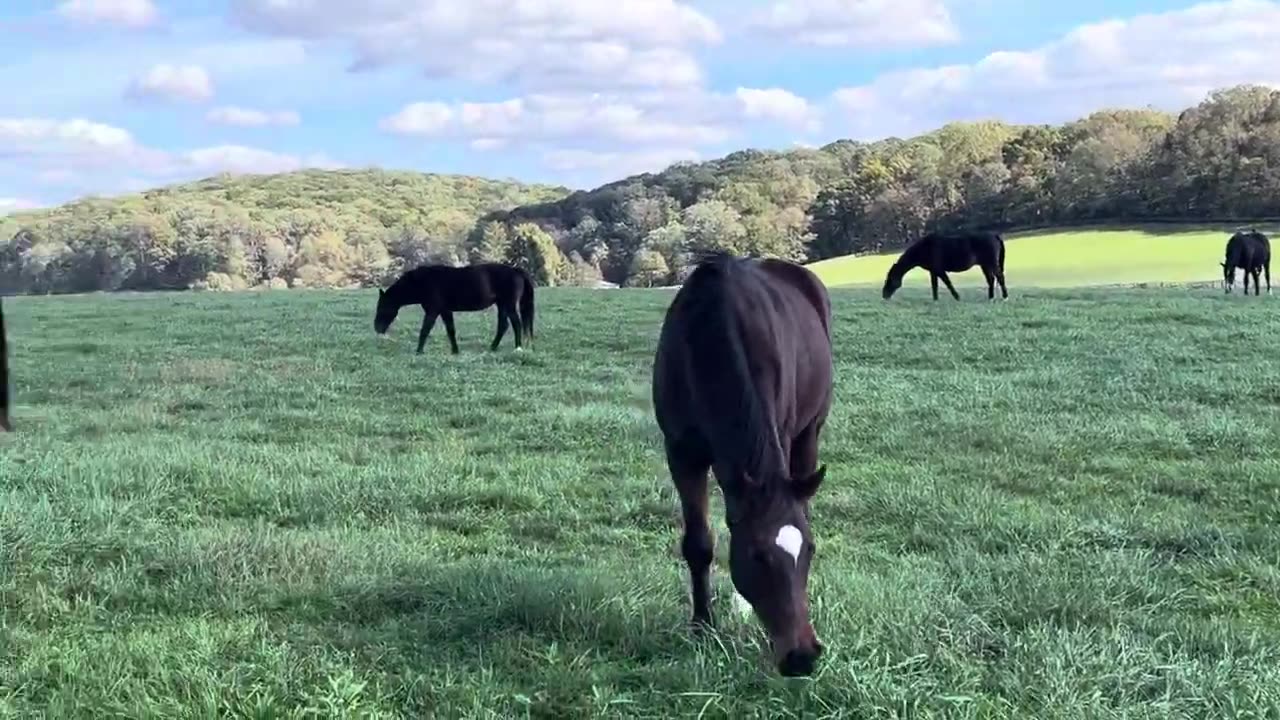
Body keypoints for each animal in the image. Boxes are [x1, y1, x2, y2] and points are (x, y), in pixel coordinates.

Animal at [373, 262, 532, 353]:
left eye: (382, 307)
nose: (377, 328)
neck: (423, 282)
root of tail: (516, 270)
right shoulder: (445, 311)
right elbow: (451, 331)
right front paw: (455, 351)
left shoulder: (433, 311)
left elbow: (425, 330)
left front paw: (419, 351)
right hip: (502, 305)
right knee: (503, 326)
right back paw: (493, 348)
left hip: (509, 305)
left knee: (516, 324)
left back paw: (518, 348)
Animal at [655, 251, 834, 671]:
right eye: (757, 555)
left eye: (810, 551)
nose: (802, 657)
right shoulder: (681, 453)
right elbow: (699, 543)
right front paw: (702, 625)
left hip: (810, 433)